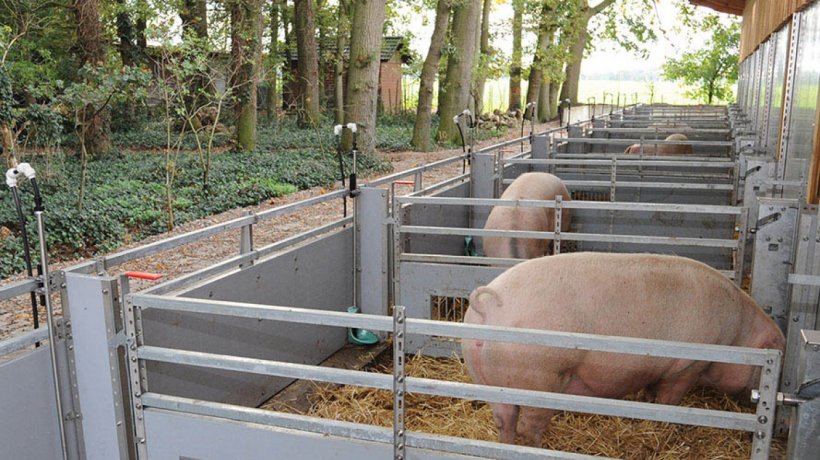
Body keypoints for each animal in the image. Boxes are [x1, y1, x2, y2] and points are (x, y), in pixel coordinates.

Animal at [464, 252, 784, 446]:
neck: (736, 336)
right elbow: (669, 401)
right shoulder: (687, 367)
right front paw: (670, 429)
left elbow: (651, 396)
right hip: (538, 376)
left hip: (488, 379)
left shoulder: (657, 370)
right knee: (528, 427)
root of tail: (491, 305)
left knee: (504, 420)